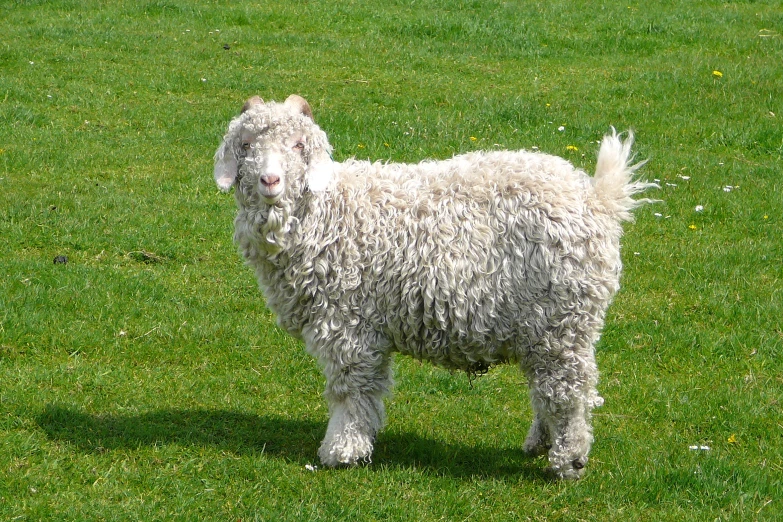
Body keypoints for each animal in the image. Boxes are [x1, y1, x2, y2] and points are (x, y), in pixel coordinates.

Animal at [213, 95, 656, 478]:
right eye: (247, 144)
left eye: (299, 144)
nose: (270, 179)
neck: (329, 213)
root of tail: (598, 200)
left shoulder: (349, 324)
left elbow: (351, 392)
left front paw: (341, 450)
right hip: (545, 327)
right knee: (547, 386)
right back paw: (540, 443)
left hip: (562, 320)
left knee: (569, 390)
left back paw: (569, 460)